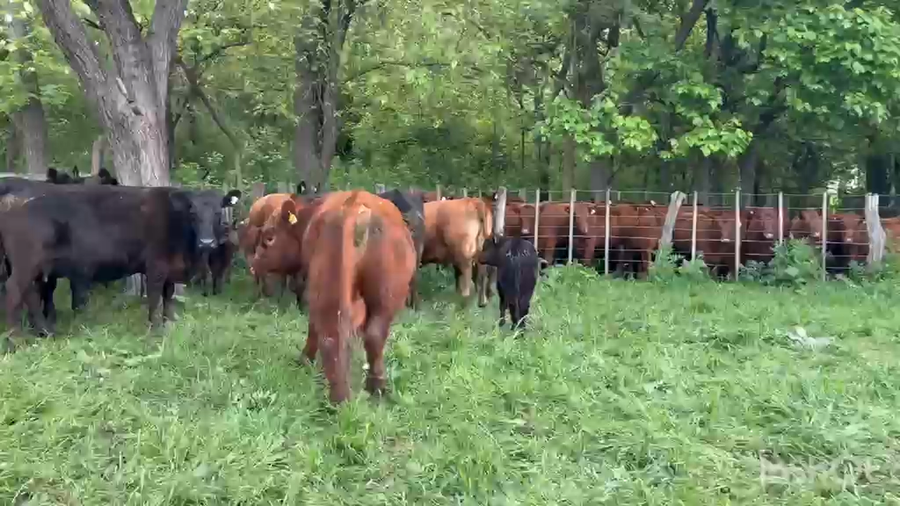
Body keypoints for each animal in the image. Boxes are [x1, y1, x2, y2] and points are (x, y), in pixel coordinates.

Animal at [0, 185, 242, 335]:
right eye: (193, 212)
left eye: (219, 212)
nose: (207, 242)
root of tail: (13, 200)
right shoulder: (155, 267)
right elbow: (154, 298)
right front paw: (154, 329)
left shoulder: (170, 271)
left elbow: (168, 298)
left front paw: (168, 324)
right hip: (26, 262)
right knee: (14, 291)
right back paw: (15, 340)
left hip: (35, 267)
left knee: (30, 294)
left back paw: (44, 332)